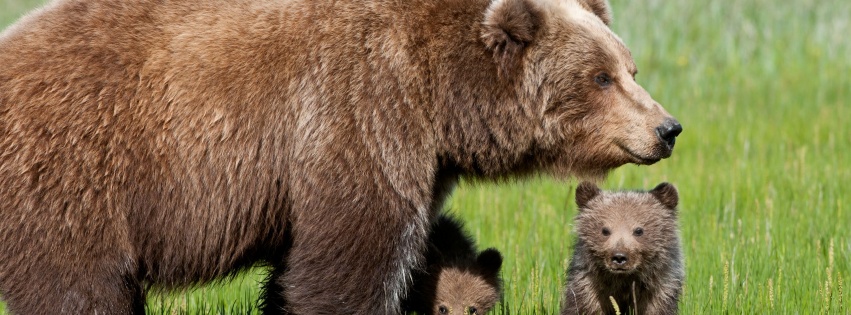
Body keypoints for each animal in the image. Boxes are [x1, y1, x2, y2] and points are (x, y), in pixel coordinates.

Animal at [0, 0, 684, 314]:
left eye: (628, 66)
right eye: (599, 76)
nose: (668, 128)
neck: (438, 95)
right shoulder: (356, 111)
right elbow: (351, 256)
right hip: (75, 176)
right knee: (79, 287)